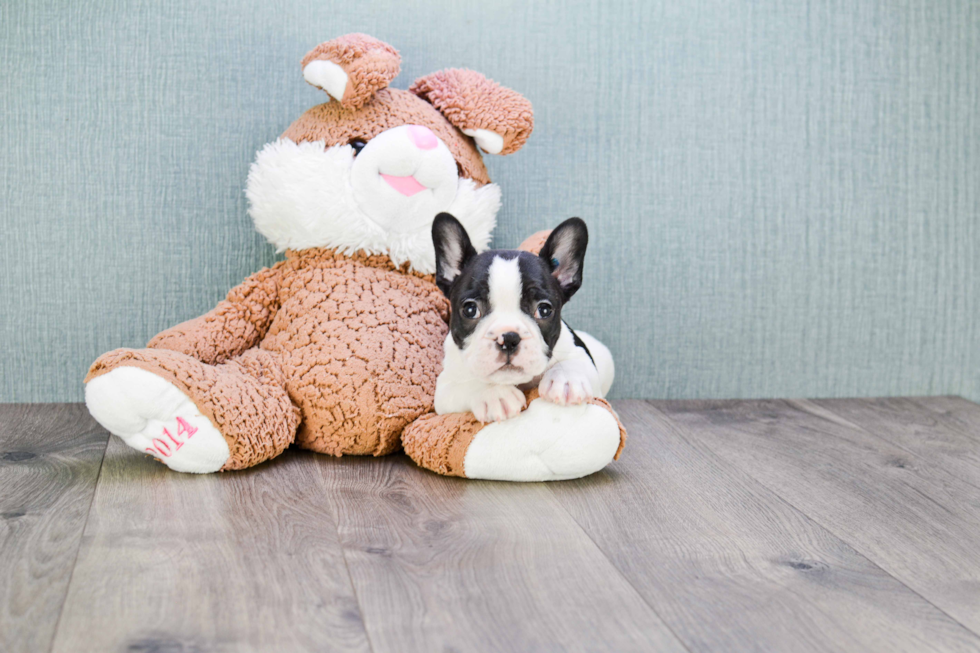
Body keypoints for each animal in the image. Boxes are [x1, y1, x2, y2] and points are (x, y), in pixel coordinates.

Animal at [432, 211, 608, 420]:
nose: (508, 338)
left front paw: (566, 380)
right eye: (470, 309)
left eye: (544, 310)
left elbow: (575, 362)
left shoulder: (582, 356)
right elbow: (466, 384)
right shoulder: (445, 388)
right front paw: (493, 393)